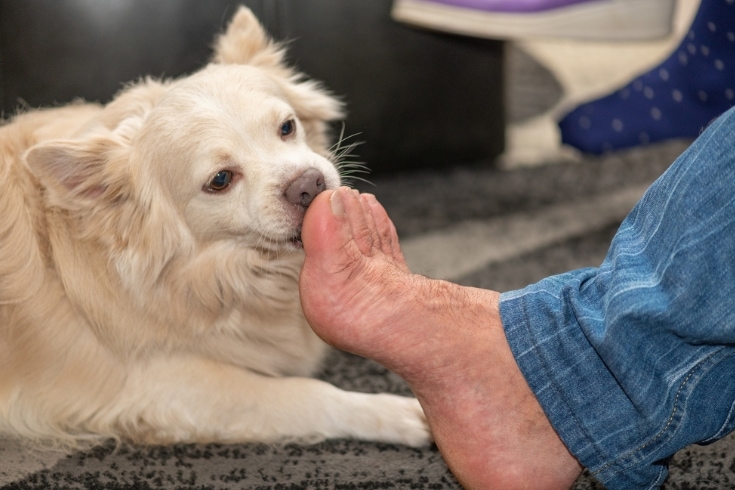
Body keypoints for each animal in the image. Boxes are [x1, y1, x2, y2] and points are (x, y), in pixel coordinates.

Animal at [0, 6, 432, 448]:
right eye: (220, 180)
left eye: (288, 127)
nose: (309, 183)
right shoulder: (163, 387)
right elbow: (308, 394)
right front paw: (394, 413)